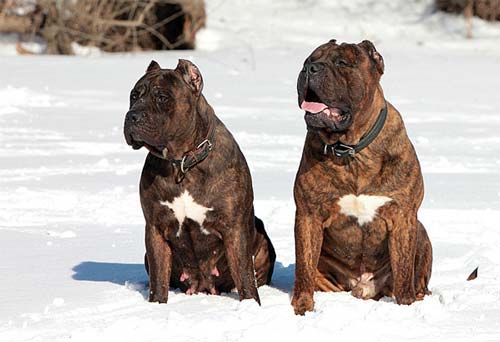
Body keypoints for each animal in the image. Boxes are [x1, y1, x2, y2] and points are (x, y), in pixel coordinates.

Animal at [122, 59, 276, 304]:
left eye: (162, 97)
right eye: (134, 96)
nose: (132, 116)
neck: (182, 163)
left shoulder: (235, 229)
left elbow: (244, 275)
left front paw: (251, 304)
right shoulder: (155, 228)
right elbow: (158, 278)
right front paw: (156, 305)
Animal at [292, 40, 432, 316]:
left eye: (342, 63)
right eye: (307, 61)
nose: (310, 69)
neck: (352, 150)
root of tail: (362, 286)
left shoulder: (403, 216)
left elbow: (403, 272)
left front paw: (406, 305)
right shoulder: (308, 215)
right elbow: (304, 266)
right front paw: (302, 306)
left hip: (420, 232)